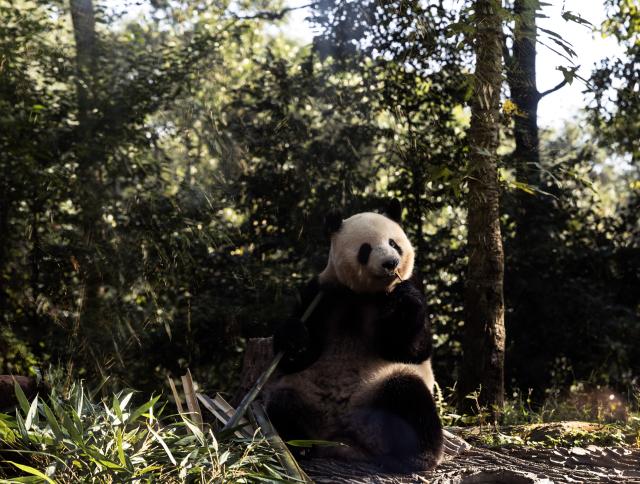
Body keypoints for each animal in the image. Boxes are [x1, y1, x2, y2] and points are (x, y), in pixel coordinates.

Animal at [264, 200, 444, 472]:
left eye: (394, 243)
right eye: (365, 249)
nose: (391, 263)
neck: (364, 293)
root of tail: (342, 437)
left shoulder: (410, 287)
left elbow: (411, 349)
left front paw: (407, 301)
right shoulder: (323, 294)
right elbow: (298, 356)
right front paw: (294, 336)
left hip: (376, 398)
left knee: (407, 394)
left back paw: (418, 455)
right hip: (307, 395)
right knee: (282, 403)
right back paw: (300, 447)